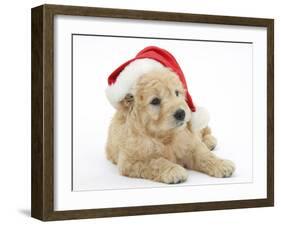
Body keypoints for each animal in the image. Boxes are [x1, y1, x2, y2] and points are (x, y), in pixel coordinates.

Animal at [105, 67, 234, 184]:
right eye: (155, 101)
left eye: (176, 93)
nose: (181, 113)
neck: (165, 136)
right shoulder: (131, 160)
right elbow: (155, 161)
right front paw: (173, 170)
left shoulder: (190, 143)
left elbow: (204, 155)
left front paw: (222, 164)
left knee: (204, 130)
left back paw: (210, 141)